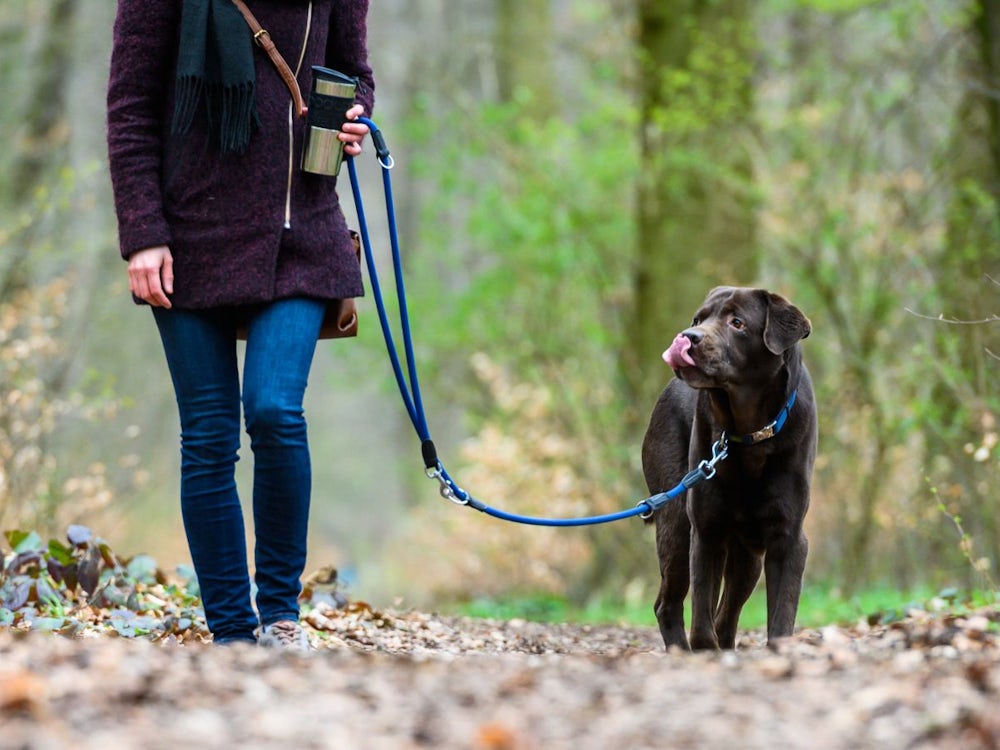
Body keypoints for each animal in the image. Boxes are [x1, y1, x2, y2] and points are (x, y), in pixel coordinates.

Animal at [644, 288, 816, 652]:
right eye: (699, 319)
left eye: (737, 323)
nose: (688, 336)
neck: (750, 434)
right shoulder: (705, 530)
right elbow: (701, 619)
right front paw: (703, 649)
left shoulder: (788, 536)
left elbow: (781, 615)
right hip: (677, 524)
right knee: (669, 604)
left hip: (747, 555)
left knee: (726, 613)